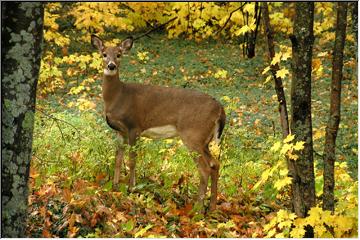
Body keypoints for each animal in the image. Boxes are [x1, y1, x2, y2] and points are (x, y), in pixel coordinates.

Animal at [90, 34, 225, 210]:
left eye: (119, 54)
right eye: (104, 54)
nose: (111, 66)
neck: (118, 97)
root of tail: (220, 108)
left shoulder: (135, 126)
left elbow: (132, 159)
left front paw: (131, 188)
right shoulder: (120, 131)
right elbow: (118, 159)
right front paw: (115, 187)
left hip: (193, 135)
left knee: (205, 169)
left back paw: (198, 208)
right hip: (205, 141)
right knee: (215, 164)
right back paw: (212, 207)